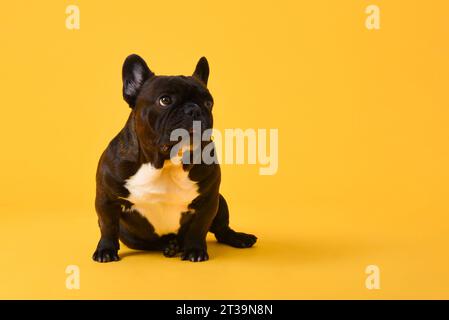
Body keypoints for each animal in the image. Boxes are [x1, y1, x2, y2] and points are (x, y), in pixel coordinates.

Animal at [93, 54, 258, 262]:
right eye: (165, 100)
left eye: (208, 103)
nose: (194, 109)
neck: (165, 163)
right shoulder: (106, 200)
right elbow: (108, 226)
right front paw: (106, 250)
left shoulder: (208, 201)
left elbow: (198, 228)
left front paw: (195, 250)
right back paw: (170, 246)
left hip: (221, 203)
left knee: (222, 229)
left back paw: (236, 238)